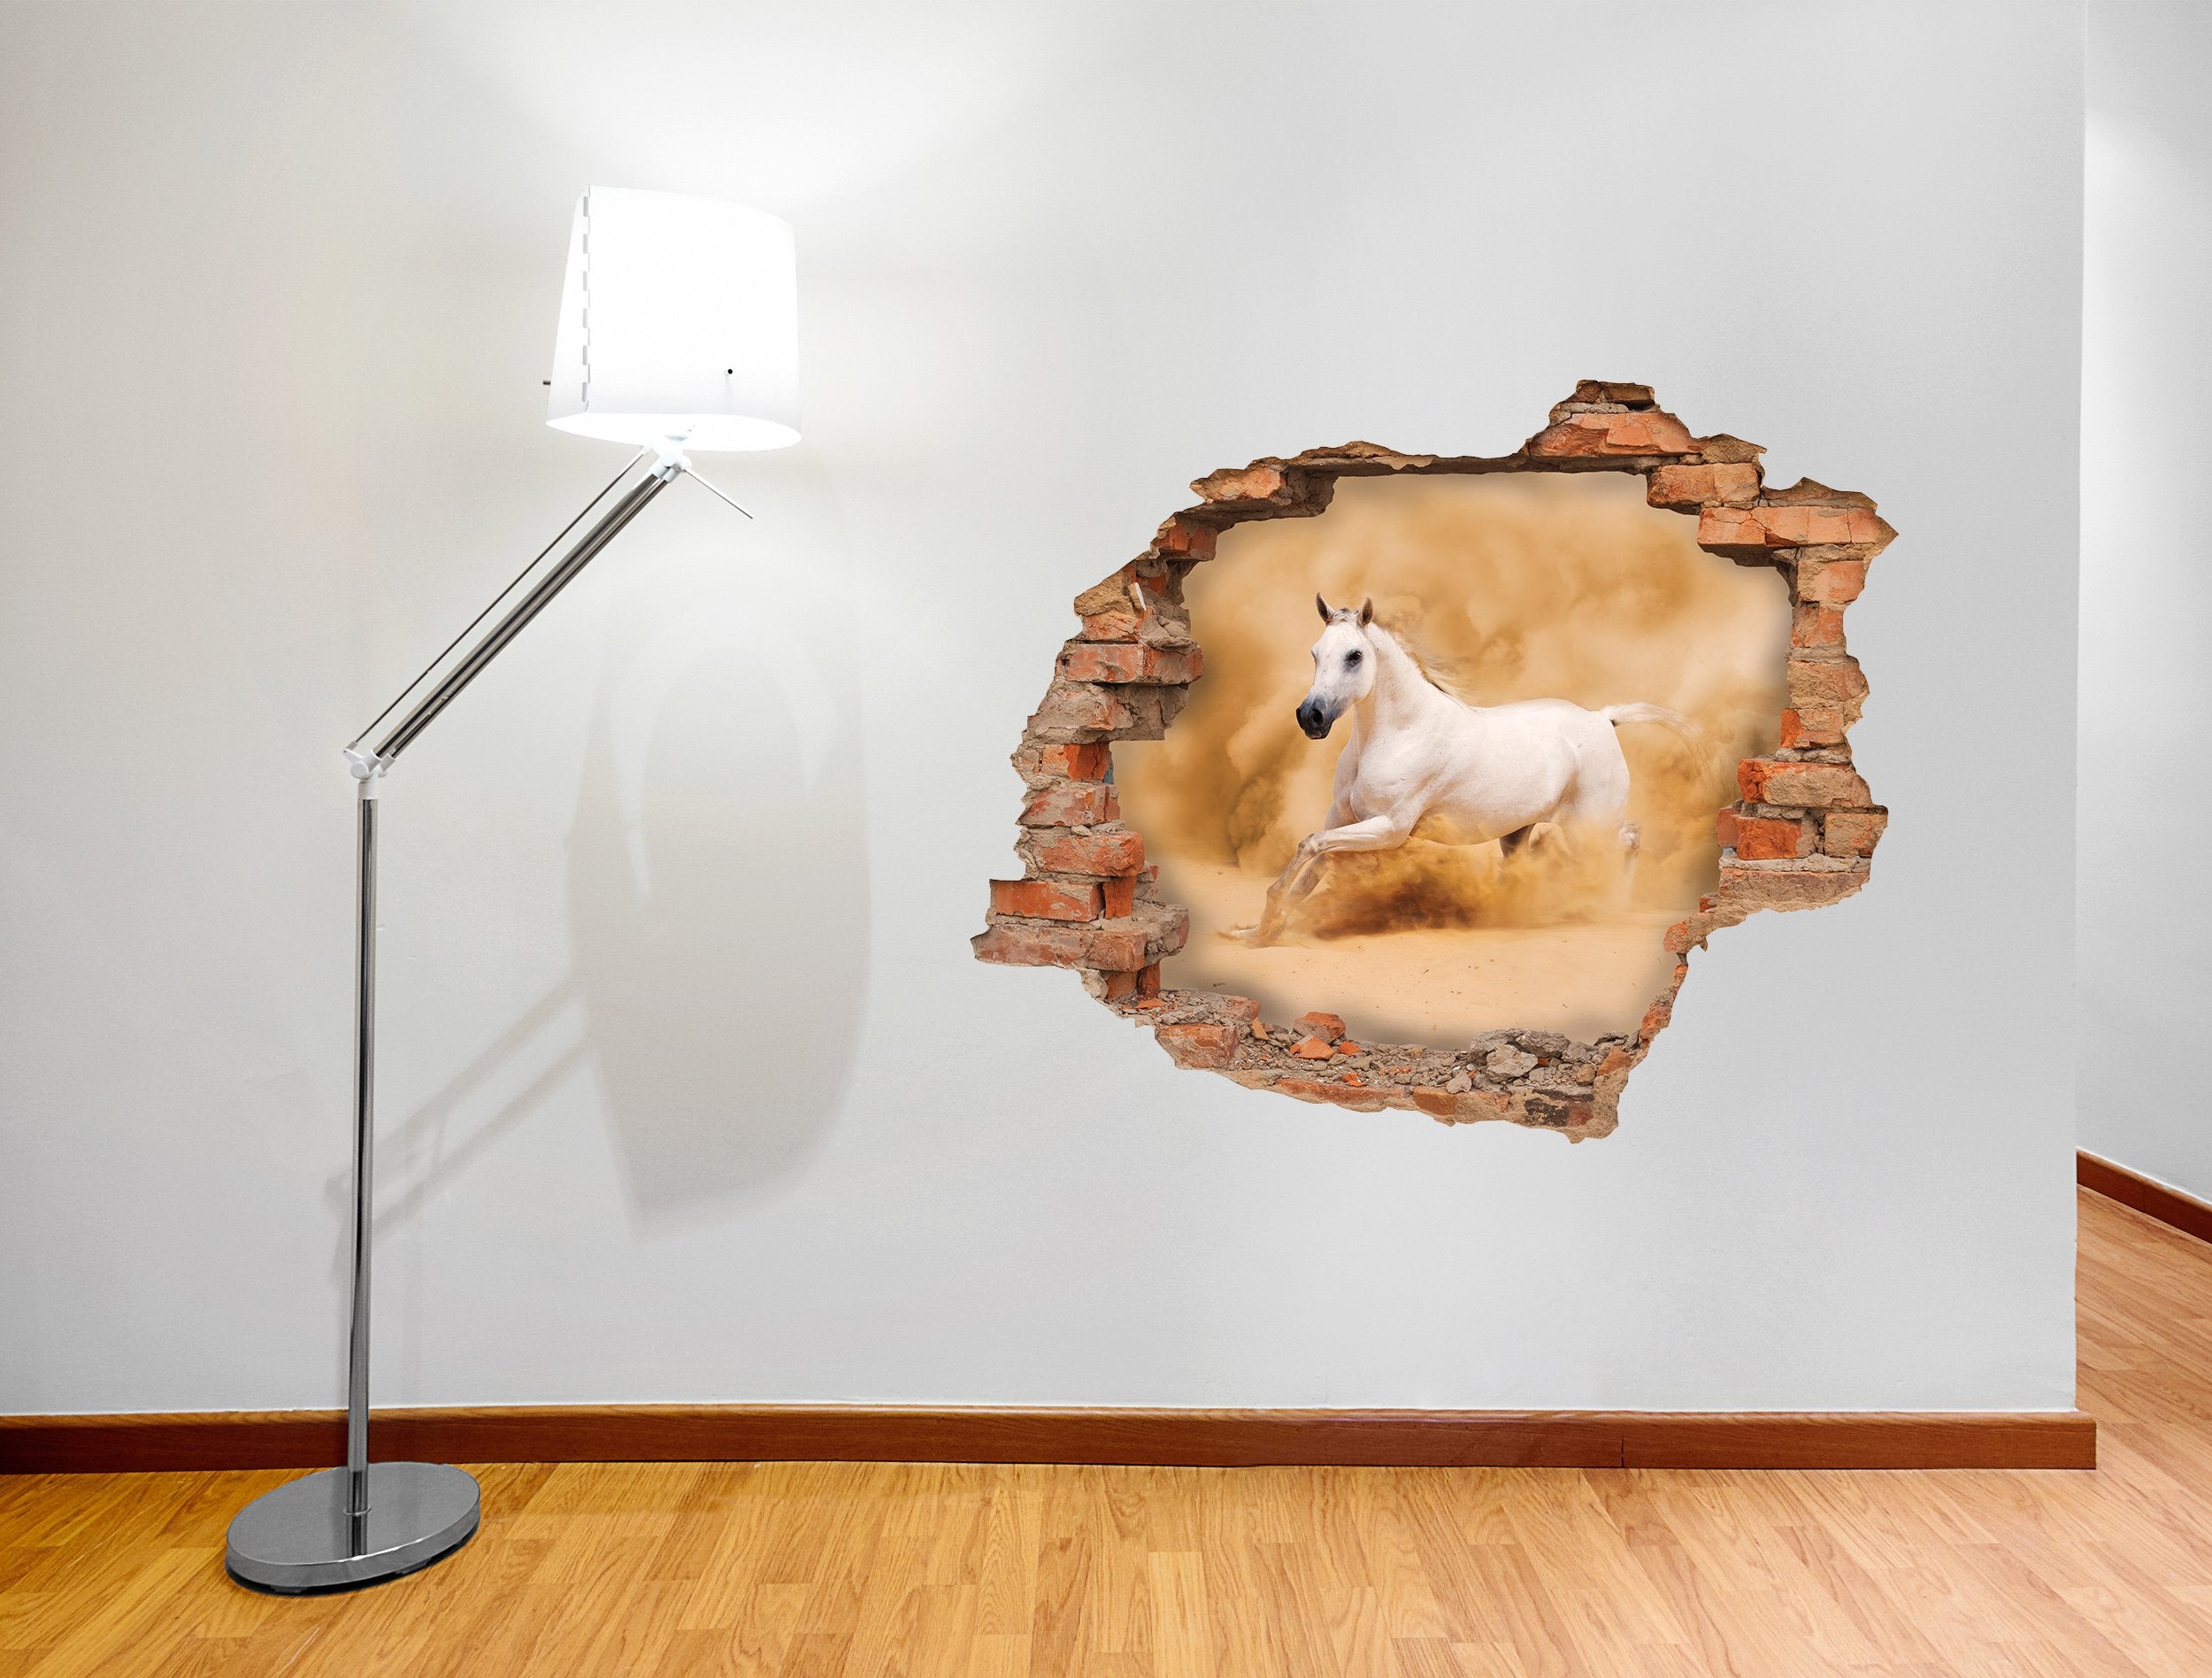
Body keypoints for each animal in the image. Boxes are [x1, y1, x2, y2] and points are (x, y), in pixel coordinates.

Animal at [1230, 595, 1700, 946]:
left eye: (1354, 656)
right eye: (1315, 653)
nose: (1310, 717)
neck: (1401, 732)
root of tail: (1603, 719)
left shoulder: (1389, 829)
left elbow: (1309, 846)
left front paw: (1266, 923)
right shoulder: (1344, 821)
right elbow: (1311, 866)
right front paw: (1258, 931)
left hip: (1588, 827)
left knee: (1630, 839)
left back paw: (1611, 904)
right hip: (1518, 833)